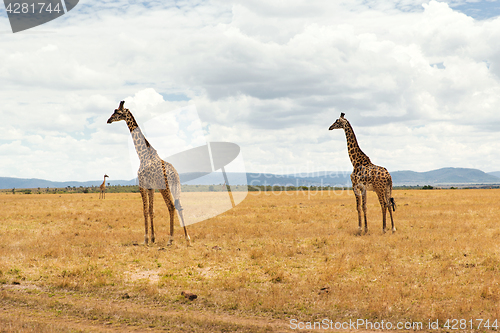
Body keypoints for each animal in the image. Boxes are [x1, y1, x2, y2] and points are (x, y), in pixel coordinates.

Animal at [106, 100, 190, 245]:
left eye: (117, 112)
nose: (108, 120)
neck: (142, 155)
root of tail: (174, 173)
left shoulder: (142, 185)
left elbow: (144, 210)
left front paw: (145, 239)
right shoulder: (151, 187)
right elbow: (151, 210)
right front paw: (152, 238)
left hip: (165, 188)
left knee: (171, 207)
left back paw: (171, 239)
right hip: (176, 186)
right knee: (180, 206)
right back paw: (187, 238)